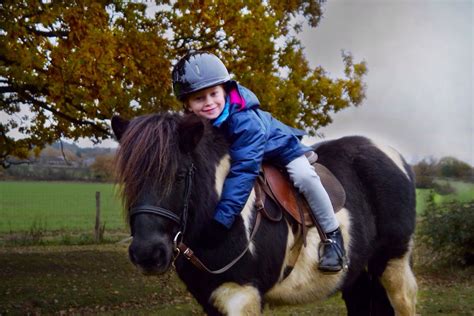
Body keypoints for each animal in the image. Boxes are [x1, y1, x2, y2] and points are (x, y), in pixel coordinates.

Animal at [113, 112, 416, 314]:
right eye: (129, 179)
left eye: (179, 175)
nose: (147, 253)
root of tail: (397, 158)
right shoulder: (211, 298)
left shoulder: (241, 294)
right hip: (358, 274)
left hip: (393, 262)